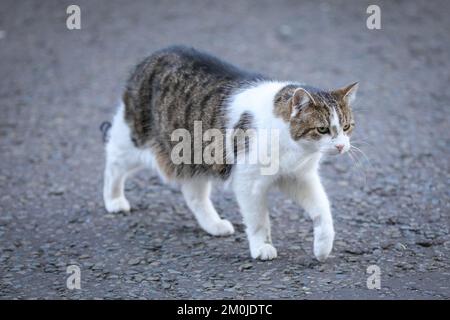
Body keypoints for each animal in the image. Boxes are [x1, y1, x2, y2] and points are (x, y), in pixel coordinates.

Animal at [103, 45, 358, 260]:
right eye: (322, 129)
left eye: (346, 127)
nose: (341, 146)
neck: (294, 149)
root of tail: (154, 55)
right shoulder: (248, 181)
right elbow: (258, 220)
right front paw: (261, 247)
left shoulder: (298, 177)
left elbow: (322, 209)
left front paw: (323, 247)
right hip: (134, 137)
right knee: (113, 160)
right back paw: (113, 199)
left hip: (195, 155)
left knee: (194, 195)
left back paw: (213, 224)